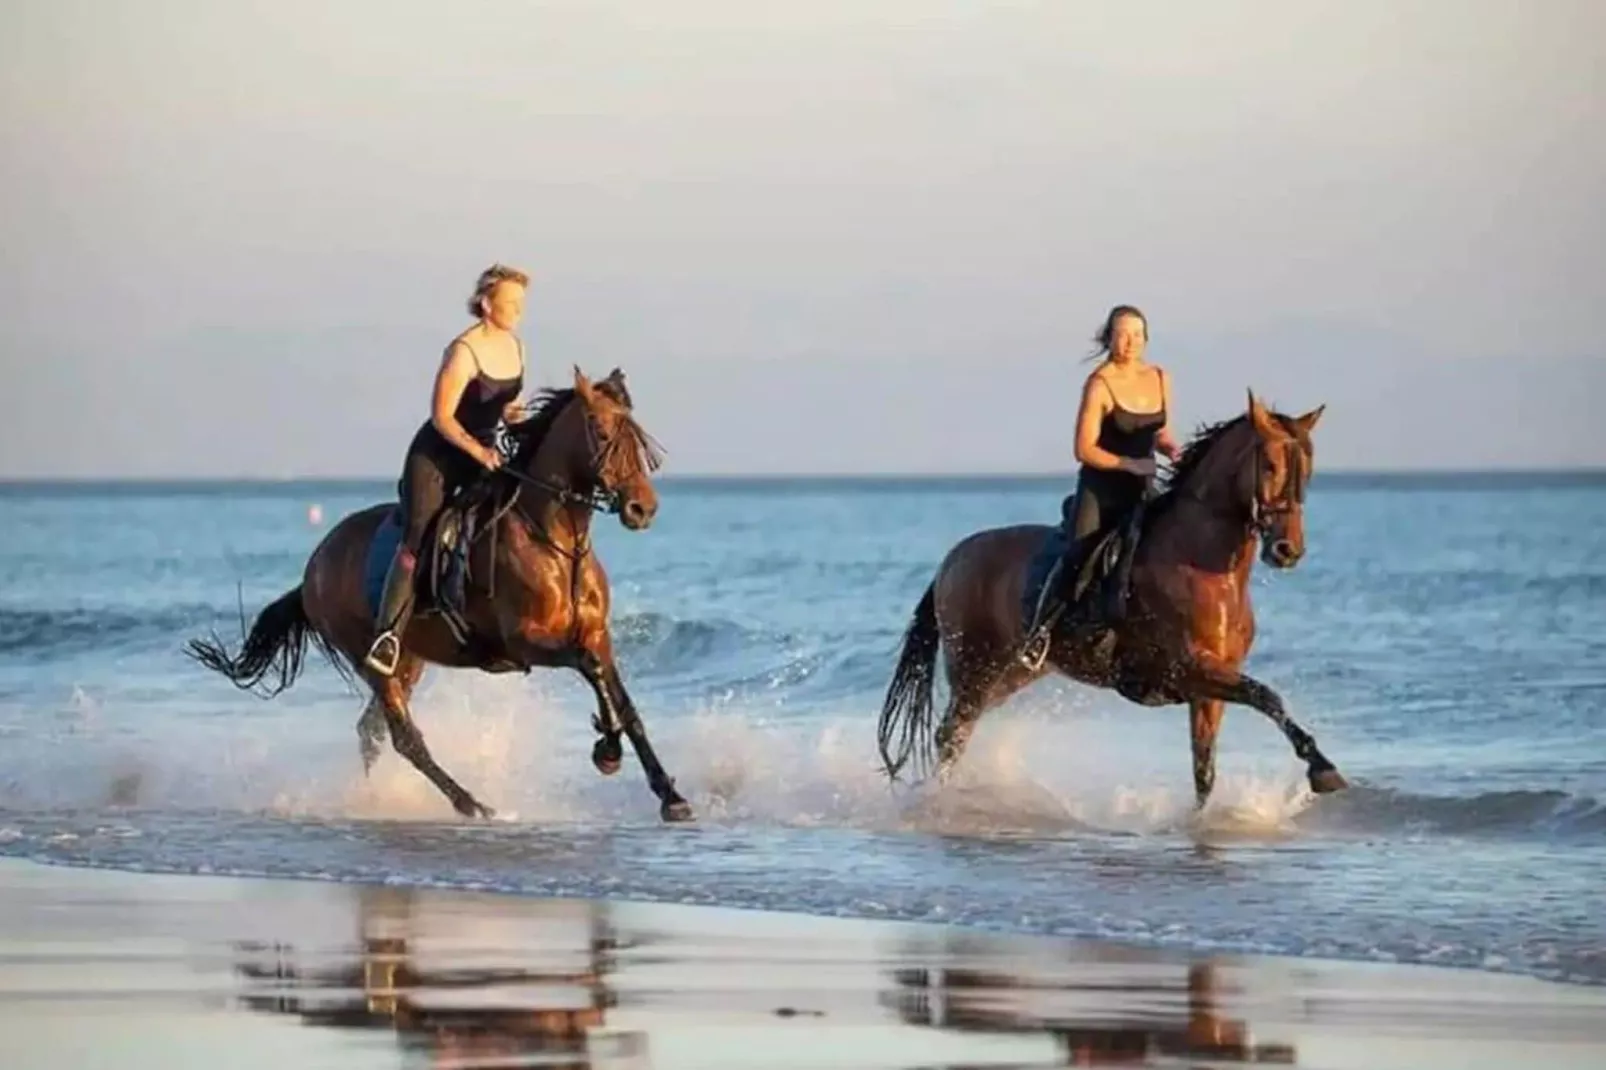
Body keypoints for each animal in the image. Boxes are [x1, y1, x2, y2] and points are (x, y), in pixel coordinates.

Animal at [186, 363, 690, 819]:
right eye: (602, 433)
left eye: (638, 439)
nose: (643, 508)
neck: (556, 542)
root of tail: (313, 567)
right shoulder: (525, 641)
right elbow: (592, 671)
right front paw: (608, 750)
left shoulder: (596, 635)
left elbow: (625, 703)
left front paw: (670, 795)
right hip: (371, 657)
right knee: (404, 737)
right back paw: (471, 804)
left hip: (409, 659)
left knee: (370, 730)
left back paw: (379, 798)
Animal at [880, 392, 1342, 809]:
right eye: (1271, 465)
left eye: (1308, 471)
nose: (1287, 550)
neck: (1205, 566)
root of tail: (951, 559)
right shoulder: (1188, 668)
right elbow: (1267, 697)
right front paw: (1323, 770)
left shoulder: (1209, 688)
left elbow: (1205, 769)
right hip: (973, 668)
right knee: (951, 733)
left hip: (1009, 674)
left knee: (960, 732)